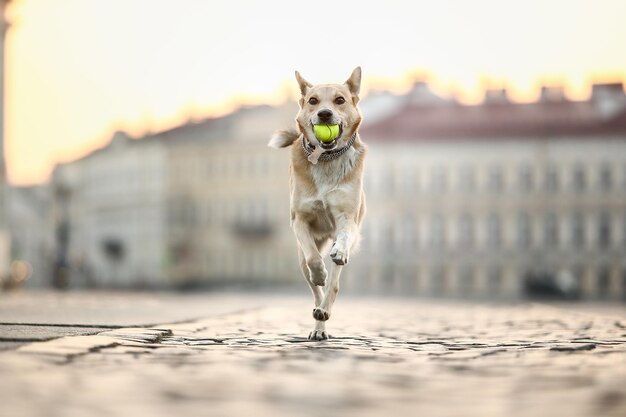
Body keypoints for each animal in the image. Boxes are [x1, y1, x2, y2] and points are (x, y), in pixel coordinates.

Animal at [266, 67, 366, 338]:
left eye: (340, 100)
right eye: (313, 101)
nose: (324, 113)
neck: (326, 158)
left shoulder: (348, 218)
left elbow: (344, 237)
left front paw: (338, 252)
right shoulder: (300, 220)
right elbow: (313, 260)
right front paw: (319, 273)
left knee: (334, 284)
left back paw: (324, 311)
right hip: (302, 257)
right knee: (314, 284)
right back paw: (319, 320)